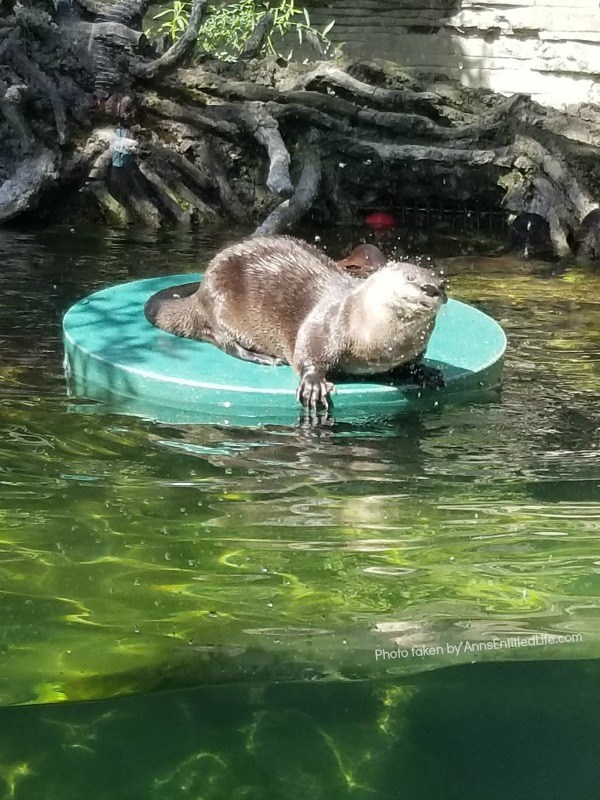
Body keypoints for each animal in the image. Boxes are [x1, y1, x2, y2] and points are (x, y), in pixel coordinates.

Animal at [144, 234, 446, 410]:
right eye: (409, 279)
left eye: (440, 283)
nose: (432, 290)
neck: (379, 344)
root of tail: (201, 291)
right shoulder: (324, 325)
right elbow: (307, 354)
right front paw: (314, 384)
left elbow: (410, 365)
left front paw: (425, 372)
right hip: (220, 302)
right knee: (222, 340)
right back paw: (262, 357)